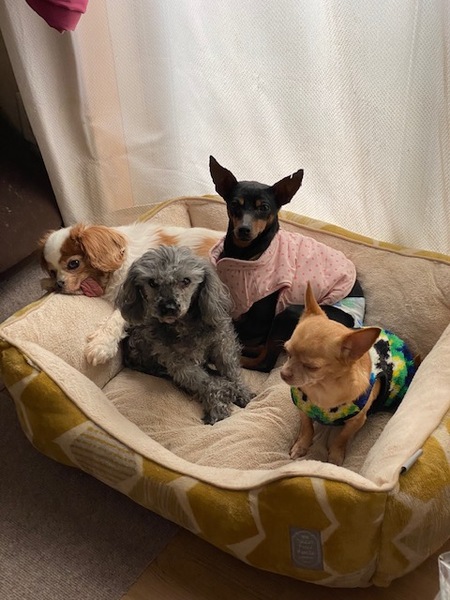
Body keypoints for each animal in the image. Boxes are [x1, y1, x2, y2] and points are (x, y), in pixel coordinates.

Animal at [116, 245, 254, 425]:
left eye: (186, 281)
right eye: (152, 282)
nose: (168, 308)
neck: (186, 326)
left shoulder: (223, 346)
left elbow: (231, 371)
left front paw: (242, 392)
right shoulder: (179, 365)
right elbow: (207, 383)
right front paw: (219, 405)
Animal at [209, 156, 365, 372]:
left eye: (264, 208)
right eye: (234, 204)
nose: (244, 230)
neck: (244, 254)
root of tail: (358, 321)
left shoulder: (259, 321)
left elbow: (234, 329)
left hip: (287, 314)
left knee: (265, 362)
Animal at [280, 282, 417, 466]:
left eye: (312, 367)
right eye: (287, 352)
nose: (283, 374)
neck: (322, 390)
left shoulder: (357, 421)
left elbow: (342, 438)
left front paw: (335, 456)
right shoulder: (303, 409)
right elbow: (307, 428)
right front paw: (301, 446)